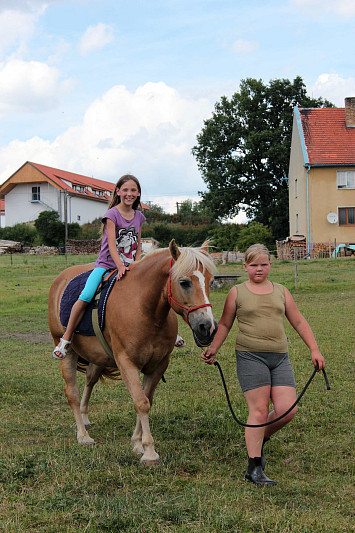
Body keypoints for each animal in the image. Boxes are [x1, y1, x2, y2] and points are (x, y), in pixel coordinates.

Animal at [48, 239, 218, 464]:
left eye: (210, 281)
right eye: (184, 282)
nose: (207, 328)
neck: (144, 309)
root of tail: (61, 279)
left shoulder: (158, 365)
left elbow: (147, 400)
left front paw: (137, 443)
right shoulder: (126, 363)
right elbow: (140, 402)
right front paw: (149, 452)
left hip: (98, 358)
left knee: (90, 381)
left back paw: (84, 419)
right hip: (68, 350)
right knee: (72, 393)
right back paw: (83, 436)